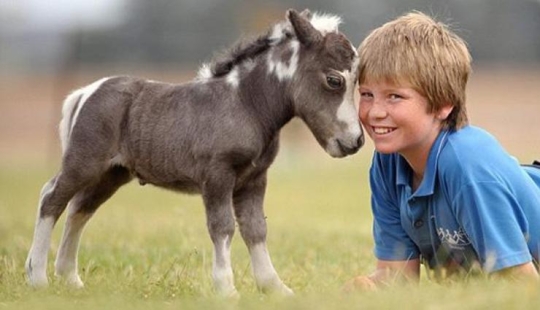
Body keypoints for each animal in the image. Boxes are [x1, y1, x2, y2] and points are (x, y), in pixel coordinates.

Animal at [24, 9, 362, 296]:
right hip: (84, 162)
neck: (245, 104)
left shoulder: (254, 179)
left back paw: (70, 279)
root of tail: (86, 92)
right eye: (334, 80)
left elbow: (256, 228)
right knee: (51, 198)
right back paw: (38, 277)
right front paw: (226, 289)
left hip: (112, 174)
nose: (355, 141)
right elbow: (223, 227)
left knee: (79, 209)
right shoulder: (218, 175)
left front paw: (274, 288)